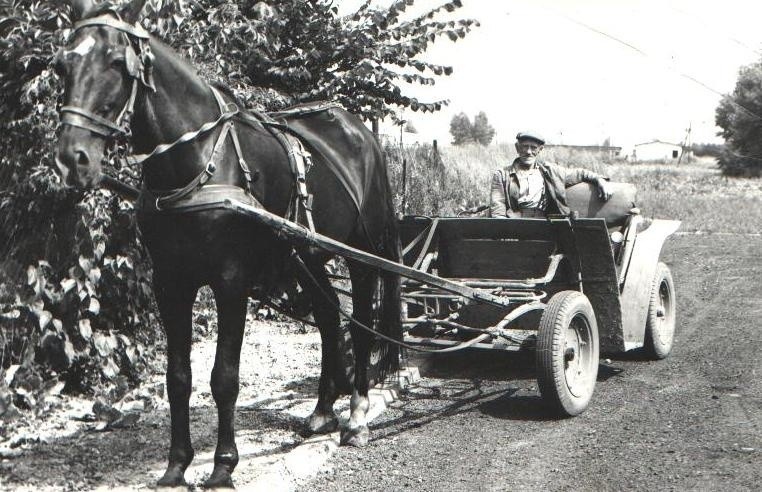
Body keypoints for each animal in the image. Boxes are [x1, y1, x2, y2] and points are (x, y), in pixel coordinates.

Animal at [54, 0, 400, 488]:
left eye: (118, 64)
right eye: (62, 65)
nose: (73, 158)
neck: (199, 163)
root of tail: (360, 132)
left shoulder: (231, 282)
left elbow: (224, 377)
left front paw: (222, 466)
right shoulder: (170, 283)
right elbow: (178, 377)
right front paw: (176, 465)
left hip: (361, 256)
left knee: (362, 323)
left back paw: (356, 416)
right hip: (305, 257)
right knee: (330, 316)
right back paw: (321, 412)